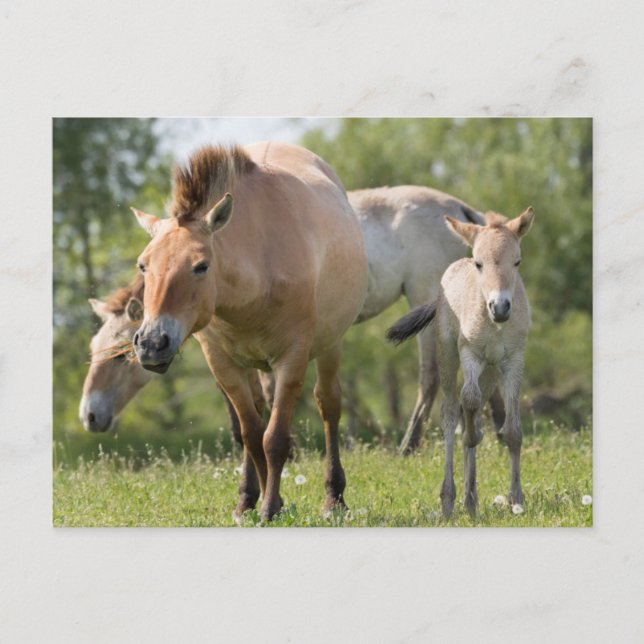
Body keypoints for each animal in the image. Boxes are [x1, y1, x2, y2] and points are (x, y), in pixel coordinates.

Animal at [130, 142, 368, 521]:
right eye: (143, 264)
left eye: (201, 266)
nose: (152, 344)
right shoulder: (223, 365)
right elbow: (252, 433)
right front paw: (265, 503)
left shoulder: (292, 360)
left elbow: (275, 438)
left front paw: (271, 508)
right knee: (255, 416)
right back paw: (248, 497)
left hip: (331, 345)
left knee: (328, 406)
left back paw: (334, 498)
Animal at [386, 207, 534, 517]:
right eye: (479, 264)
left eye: (517, 262)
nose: (500, 307)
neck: (494, 326)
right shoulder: (470, 355)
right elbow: (466, 412)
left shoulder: (513, 361)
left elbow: (513, 431)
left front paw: (516, 500)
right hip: (448, 356)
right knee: (452, 412)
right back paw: (450, 499)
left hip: (490, 372)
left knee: (473, 413)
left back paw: (471, 499)